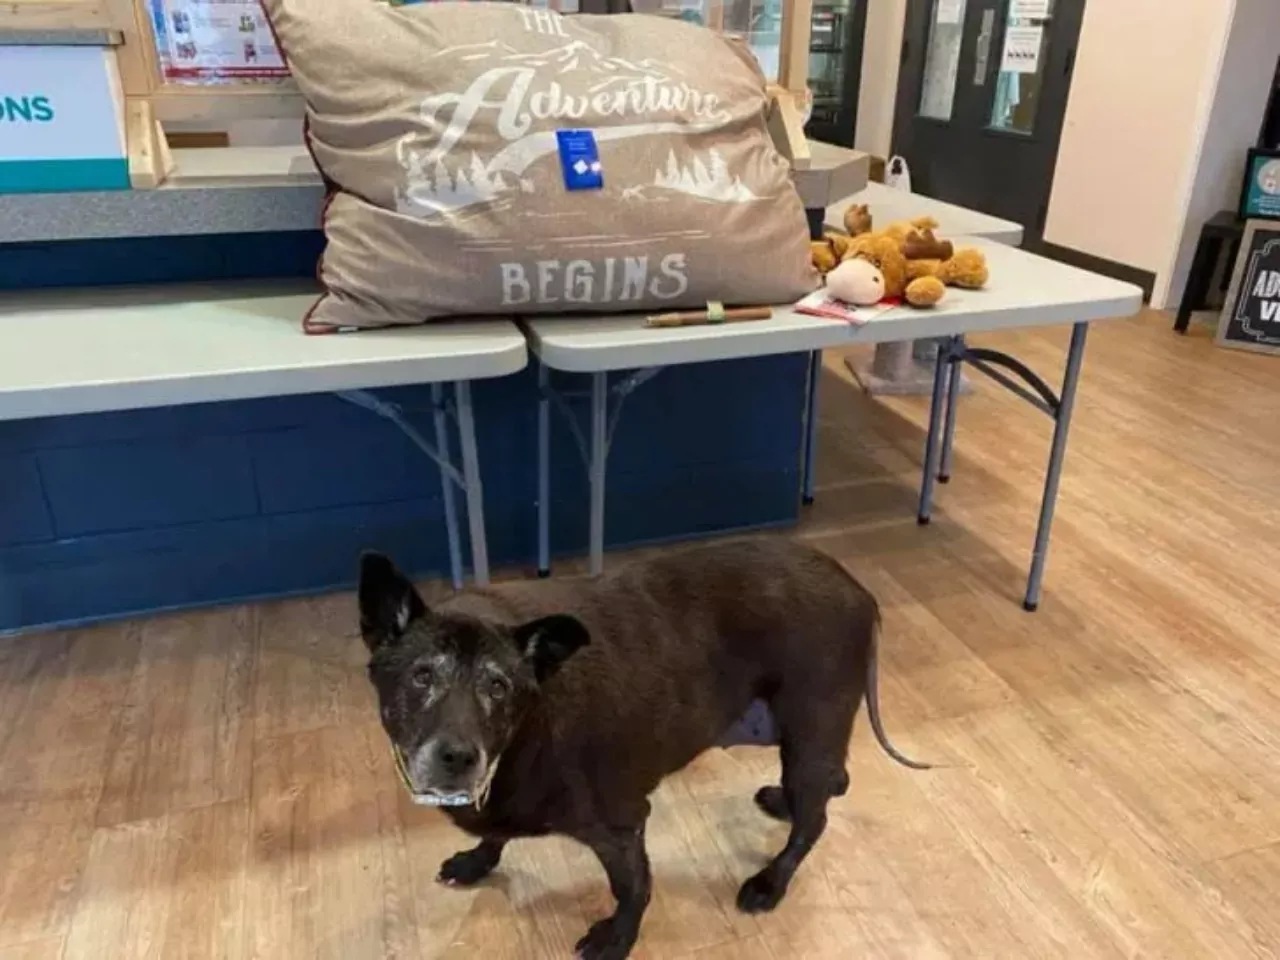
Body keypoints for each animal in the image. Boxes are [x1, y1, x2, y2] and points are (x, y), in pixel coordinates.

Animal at [355, 537, 926, 957]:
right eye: (422, 676)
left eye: (499, 687)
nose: (458, 757)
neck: (523, 733)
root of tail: (857, 588)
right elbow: (497, 835)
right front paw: (478, 860)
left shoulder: (621, 826)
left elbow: (632, 887)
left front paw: (617, 937)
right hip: (806, 740)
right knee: (833, 785)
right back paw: (783, 803)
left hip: (809, 734)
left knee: (815, 821)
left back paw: (770, 882)